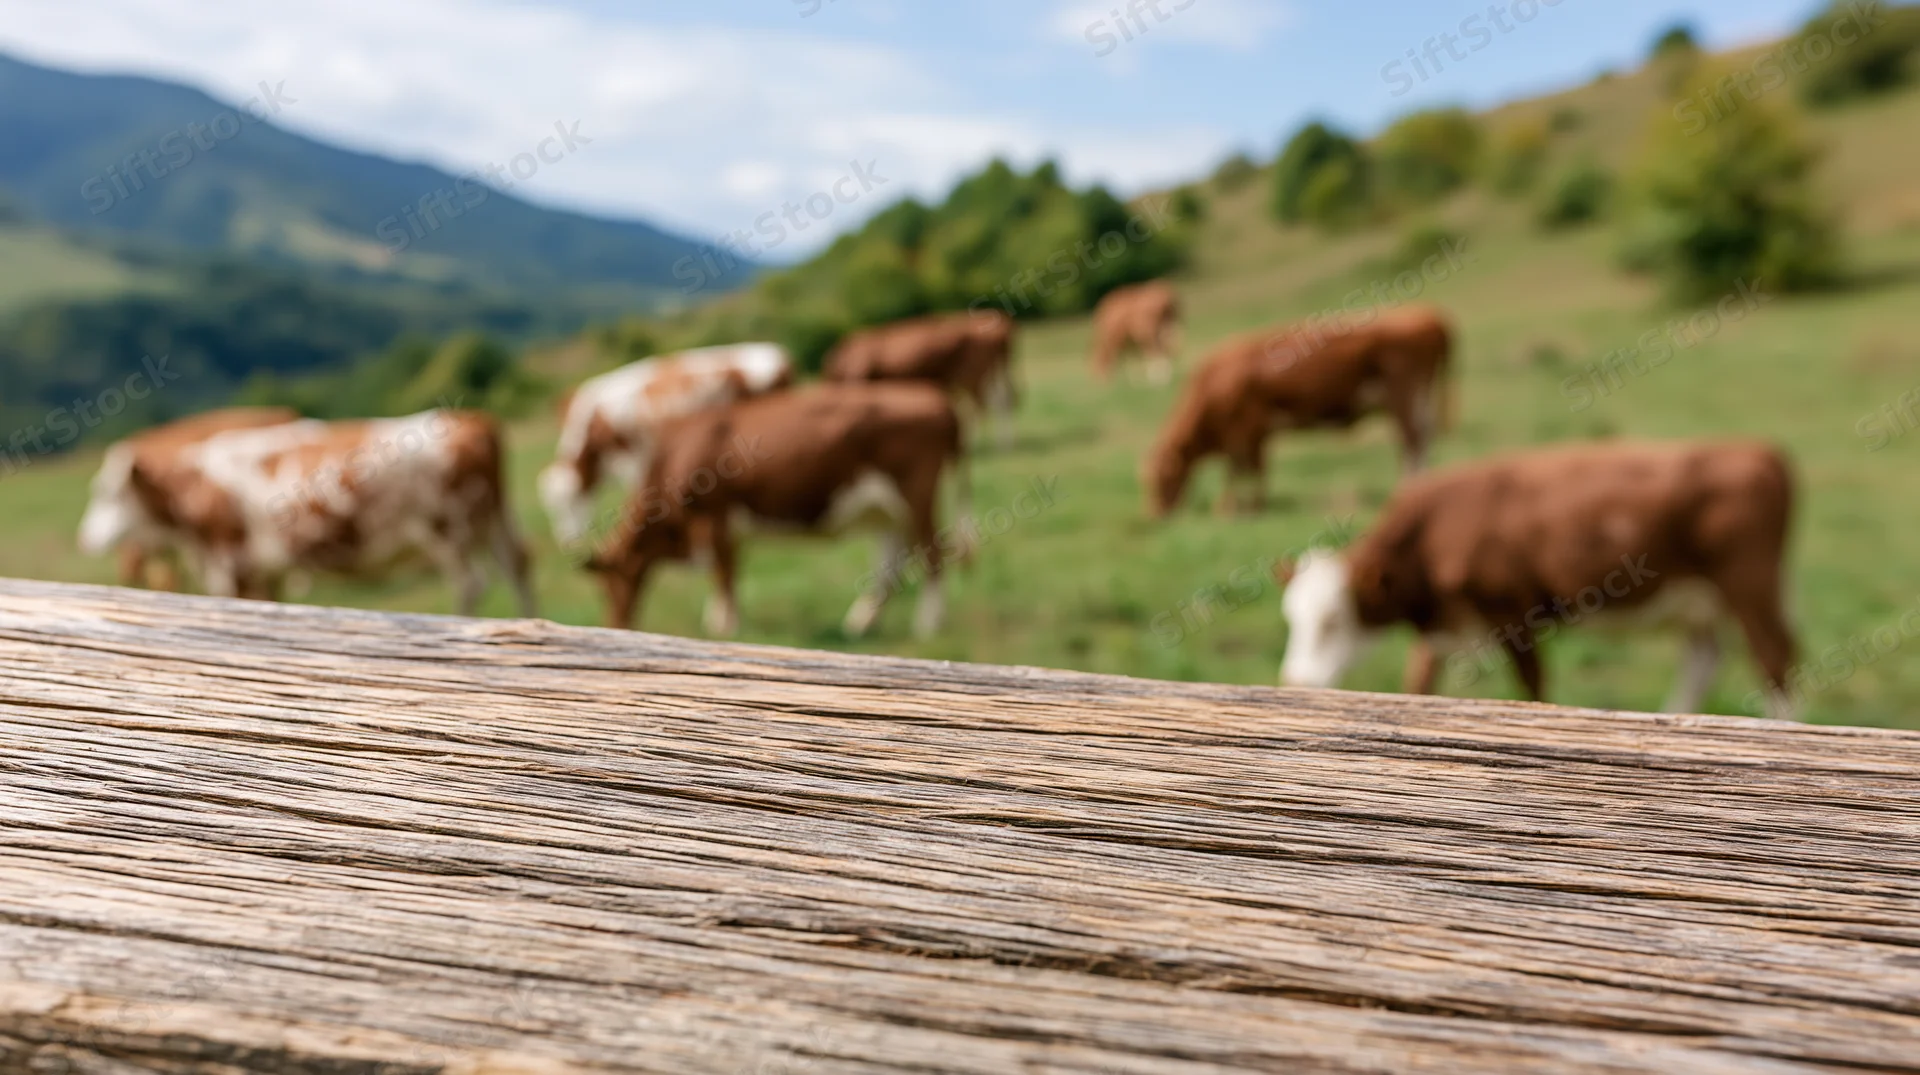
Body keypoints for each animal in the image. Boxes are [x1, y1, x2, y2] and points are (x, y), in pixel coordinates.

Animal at [538, 342, 793, 547]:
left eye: (568, 504)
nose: (567, 542)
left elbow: (639, 488)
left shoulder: (632, 455)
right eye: (551, 508)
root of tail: (775, 352)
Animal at [585, 382, 966, 640]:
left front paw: (725, 627)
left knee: (933, 552)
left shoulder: (715, 516)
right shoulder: (728, 529)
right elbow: (728, 572)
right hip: (885, 510)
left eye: (610, 583)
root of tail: (936, 399)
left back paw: (927, 625)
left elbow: (722, 574)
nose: (614, 625)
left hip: (917, 493)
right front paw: (717, 619)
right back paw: (861, 622)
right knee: (891, 564)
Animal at [1144, 305, 1453, 518]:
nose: (1156, 515)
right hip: (1418, 401)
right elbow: (1255, 469)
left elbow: (1240, 470)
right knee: (1422, 440)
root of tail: (1427, 315)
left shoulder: (1244, 429)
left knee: (1412, 442)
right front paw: (1254, 506)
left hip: (1404, 397)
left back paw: (1406, 491)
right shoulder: (1257, 433)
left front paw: (1231, 510)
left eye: (1162, 477)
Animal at [1274, 440, 1799, 720]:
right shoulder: (1442, 625)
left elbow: (1533, 686)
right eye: (1291, 618)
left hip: (1750, 586)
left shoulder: (1515, 614)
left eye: (1331, 621)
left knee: (1775, 659)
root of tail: (1757, 451)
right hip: (1696, 601)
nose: (1294, 682)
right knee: (1702, 660)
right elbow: (1417, 683)